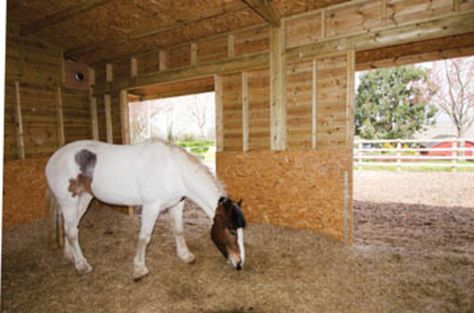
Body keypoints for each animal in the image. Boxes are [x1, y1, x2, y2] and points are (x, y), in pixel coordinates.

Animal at [45, 138, 246, 280]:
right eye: (231, 229)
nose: (239, 263)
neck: (173, 170)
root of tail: (53, 159)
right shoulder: (151, 206)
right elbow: (144, 238)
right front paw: (140, 269)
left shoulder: (176, 204)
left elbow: (179, 230)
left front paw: (185, 256)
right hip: (68, 201)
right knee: (72, 232)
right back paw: (82, 265)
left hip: (84, 198)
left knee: (70, 227)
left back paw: (70, 256)